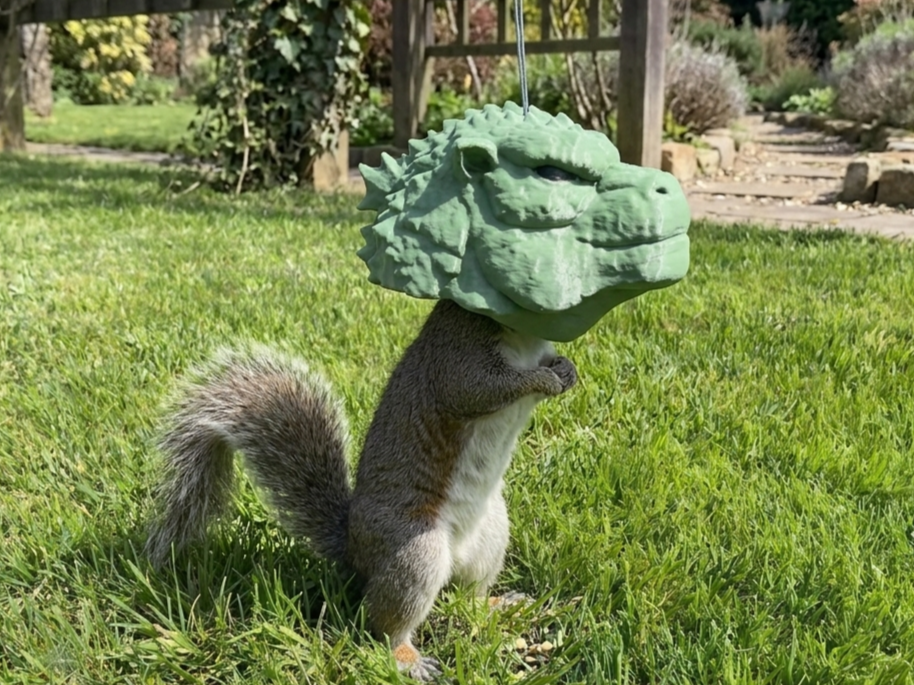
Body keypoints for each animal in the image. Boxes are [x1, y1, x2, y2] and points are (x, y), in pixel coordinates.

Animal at [144, 298, 578, 681]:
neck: (524, 339)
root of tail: (354, 549)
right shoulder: (457, 359)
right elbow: (480, 390)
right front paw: (542, 379)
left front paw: (566, 369)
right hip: (416, 550)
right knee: (381, 624)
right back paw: (407, 659)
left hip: (492, 532)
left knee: (469, 596)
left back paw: (498, 605)